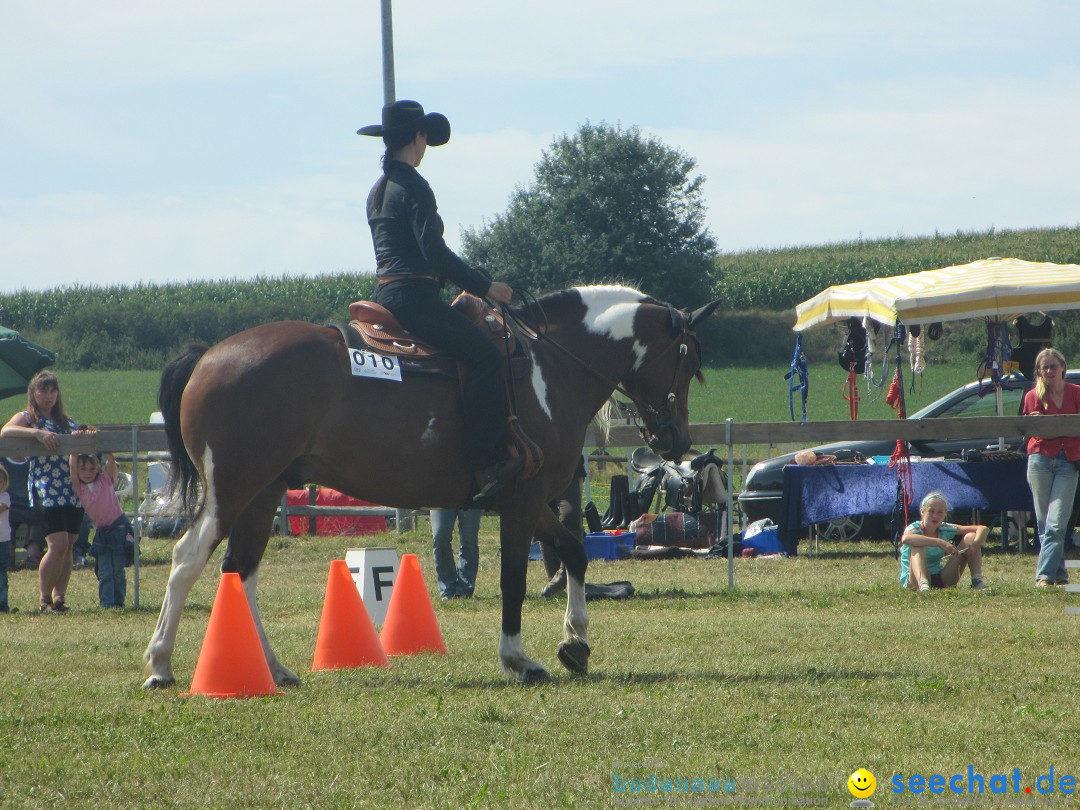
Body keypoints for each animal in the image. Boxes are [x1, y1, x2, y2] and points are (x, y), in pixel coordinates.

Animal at [141, 285, 717, 691]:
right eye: (687, 358)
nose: (676, 439)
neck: (547, 367)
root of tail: (209, 356)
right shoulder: (522, 500)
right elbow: (513, 579)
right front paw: (518, 659)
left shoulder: (526, 500)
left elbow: (574, 553)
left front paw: (575, 642)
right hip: (231, 490)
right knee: (188, 558)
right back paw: (161, 664)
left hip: (262, 495)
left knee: (241, 572)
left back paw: (274, 669)